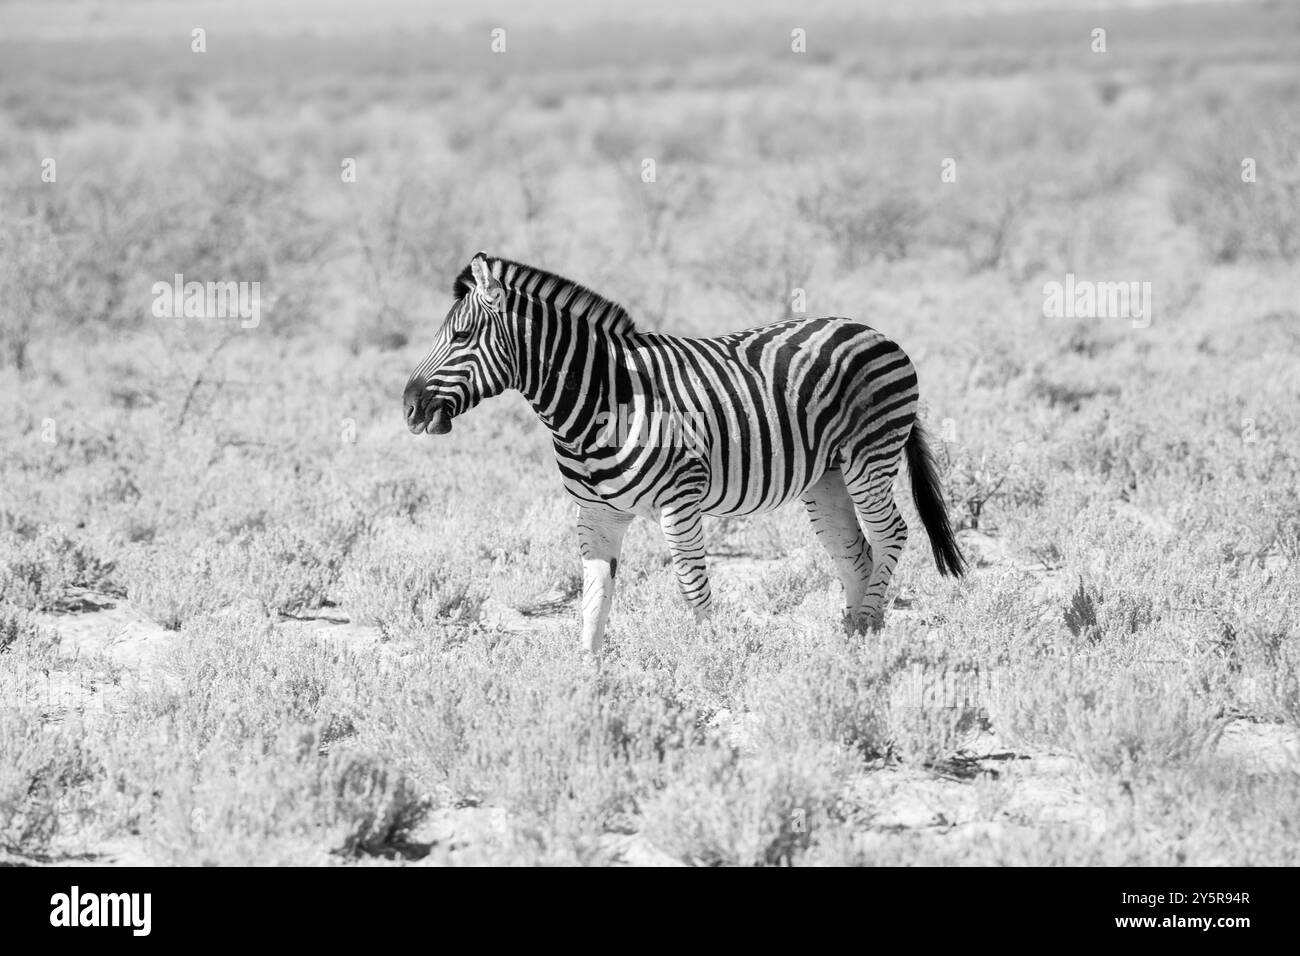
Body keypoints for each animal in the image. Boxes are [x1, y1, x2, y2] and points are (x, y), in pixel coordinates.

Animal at [405, 254, 967, 650]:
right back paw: (855, 644)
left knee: (891, 533)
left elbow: (692, 590)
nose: (409, 407)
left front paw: (707, 660)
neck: (605, 397)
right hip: (825, 479)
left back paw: (867, 625)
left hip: (868, 459)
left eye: (460, 336)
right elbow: (593, 603)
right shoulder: (595, 515)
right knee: (855, 553)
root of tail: (874, 331)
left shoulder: (680, 502)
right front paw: (587, 688)